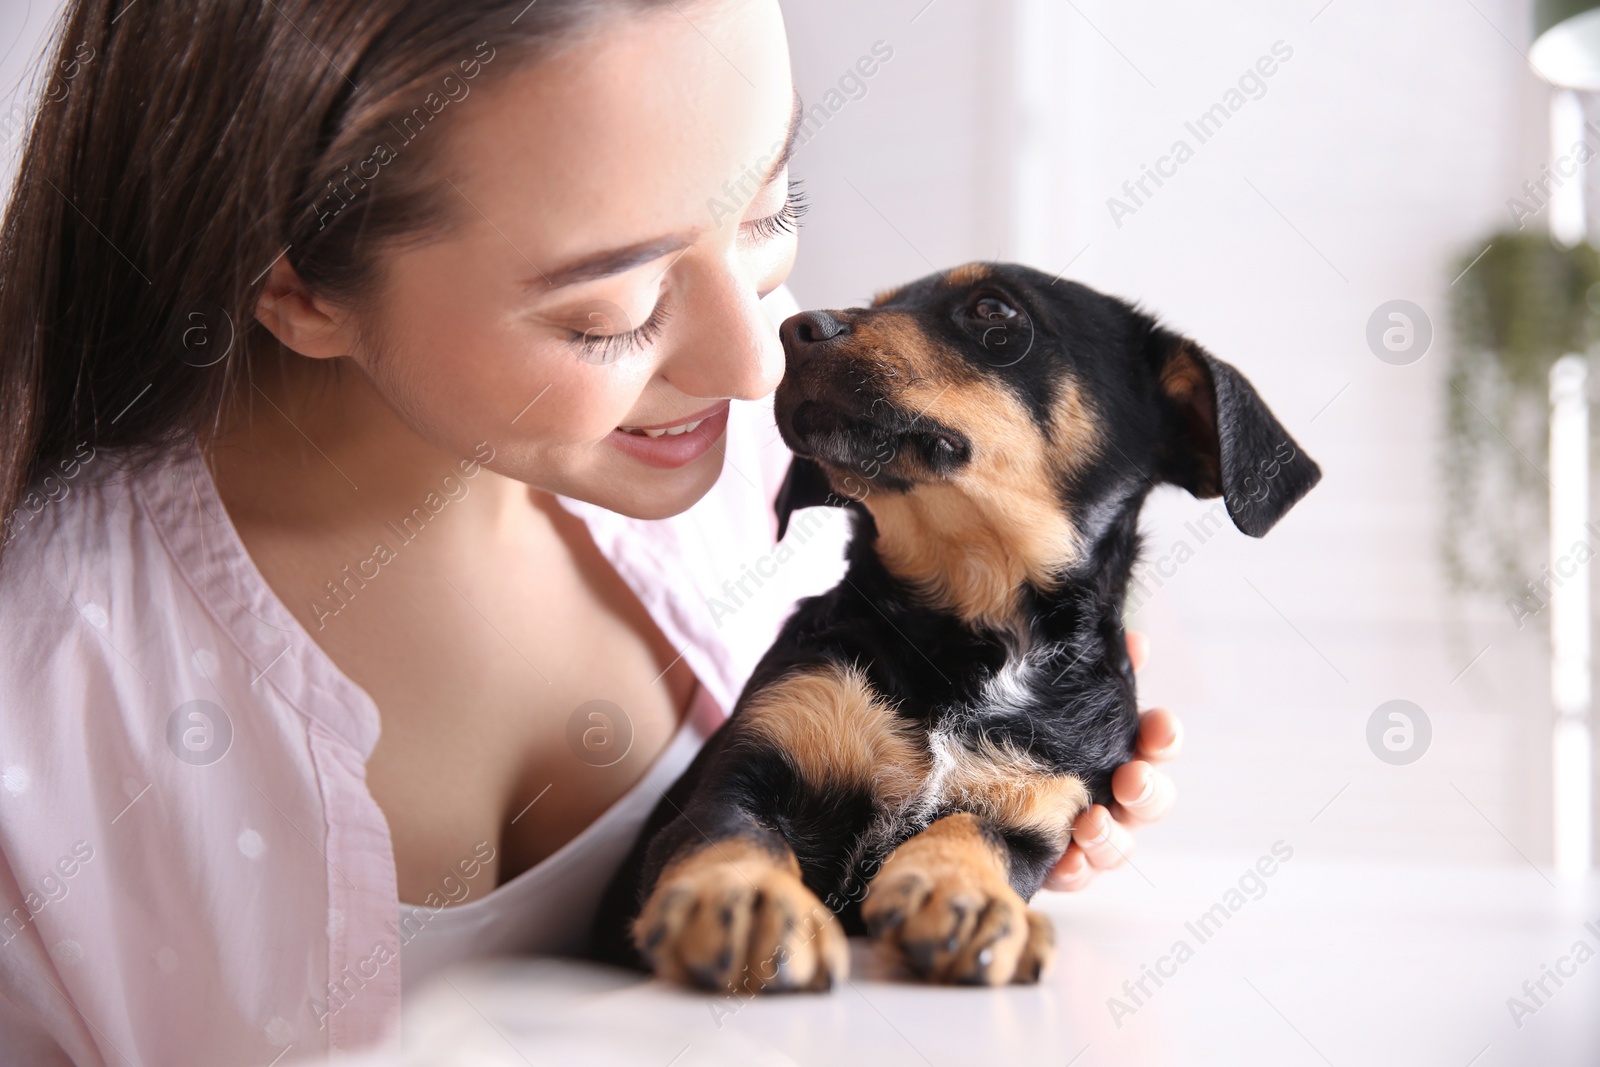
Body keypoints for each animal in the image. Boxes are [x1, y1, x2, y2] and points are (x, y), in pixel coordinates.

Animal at [595, 260, 1318, 991]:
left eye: (992, 309)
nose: (792, 330)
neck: (968, 635)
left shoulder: (1039, 808)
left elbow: (973, 831)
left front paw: (961, 895)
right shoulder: (744, 769)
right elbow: (736, 831)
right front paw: (746, 898)